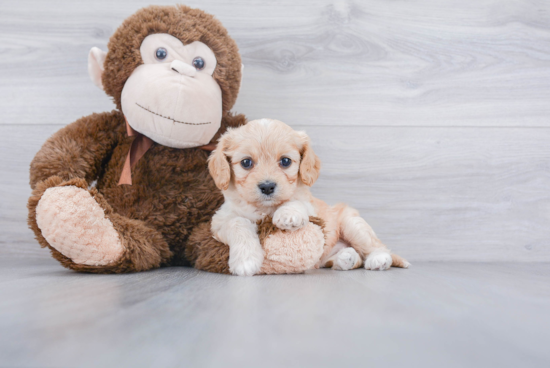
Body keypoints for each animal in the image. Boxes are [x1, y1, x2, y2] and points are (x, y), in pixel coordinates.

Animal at [208, 118, 410, 276]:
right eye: (246, 163)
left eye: (285, 161)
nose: (267, 187)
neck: (265, 209)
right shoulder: (220, 221)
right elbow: (237, 223)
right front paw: (246, 260)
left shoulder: (311, 206)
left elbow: (297, 200)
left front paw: (288, 214)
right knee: (347, 259)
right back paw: (346, 257)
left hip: (353, 224)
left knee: (375, 246)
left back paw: (378, 259)